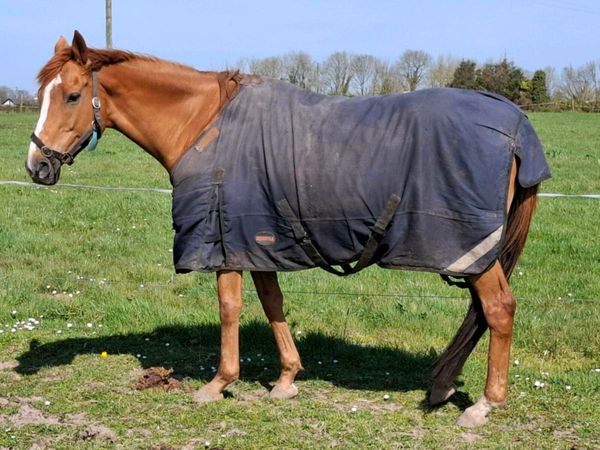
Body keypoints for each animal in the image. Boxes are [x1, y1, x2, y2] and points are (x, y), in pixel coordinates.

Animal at [26, 31, 550, 427]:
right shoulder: (259, 240)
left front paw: (219, 383)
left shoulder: (224, 242)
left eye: (72, 95)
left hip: (472, 250)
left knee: (499, 310)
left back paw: (484, 405)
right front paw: (286, 380)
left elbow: (231, 309)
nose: (36, 166)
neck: (203, 123)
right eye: (42, 95)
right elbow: (272, 302)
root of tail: (516, 123)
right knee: (482, 313)